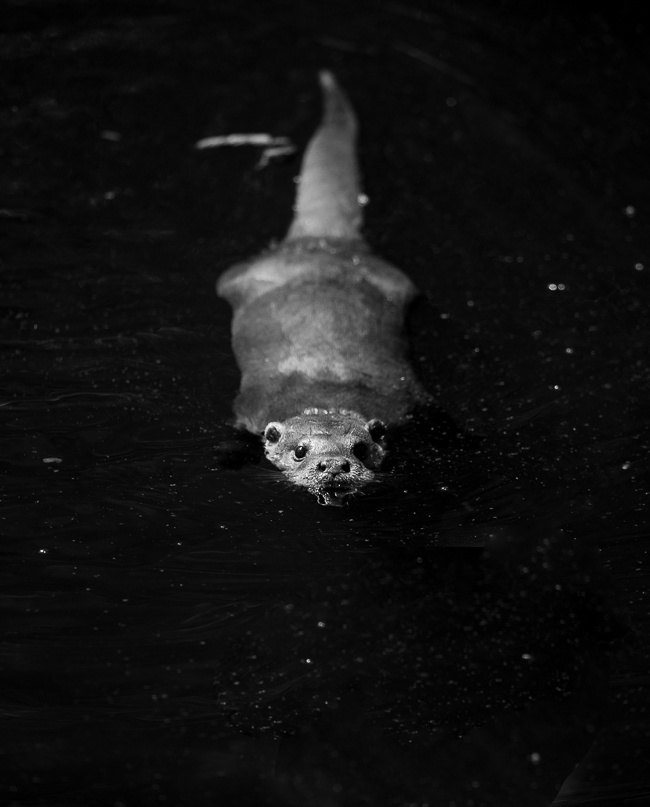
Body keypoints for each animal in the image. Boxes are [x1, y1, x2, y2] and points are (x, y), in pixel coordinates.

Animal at [217, 72, 430, 506]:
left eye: (361, 448)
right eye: (300, 450)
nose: (332, 465)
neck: (325, 398)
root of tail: (323, 241)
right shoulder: (249, 410)